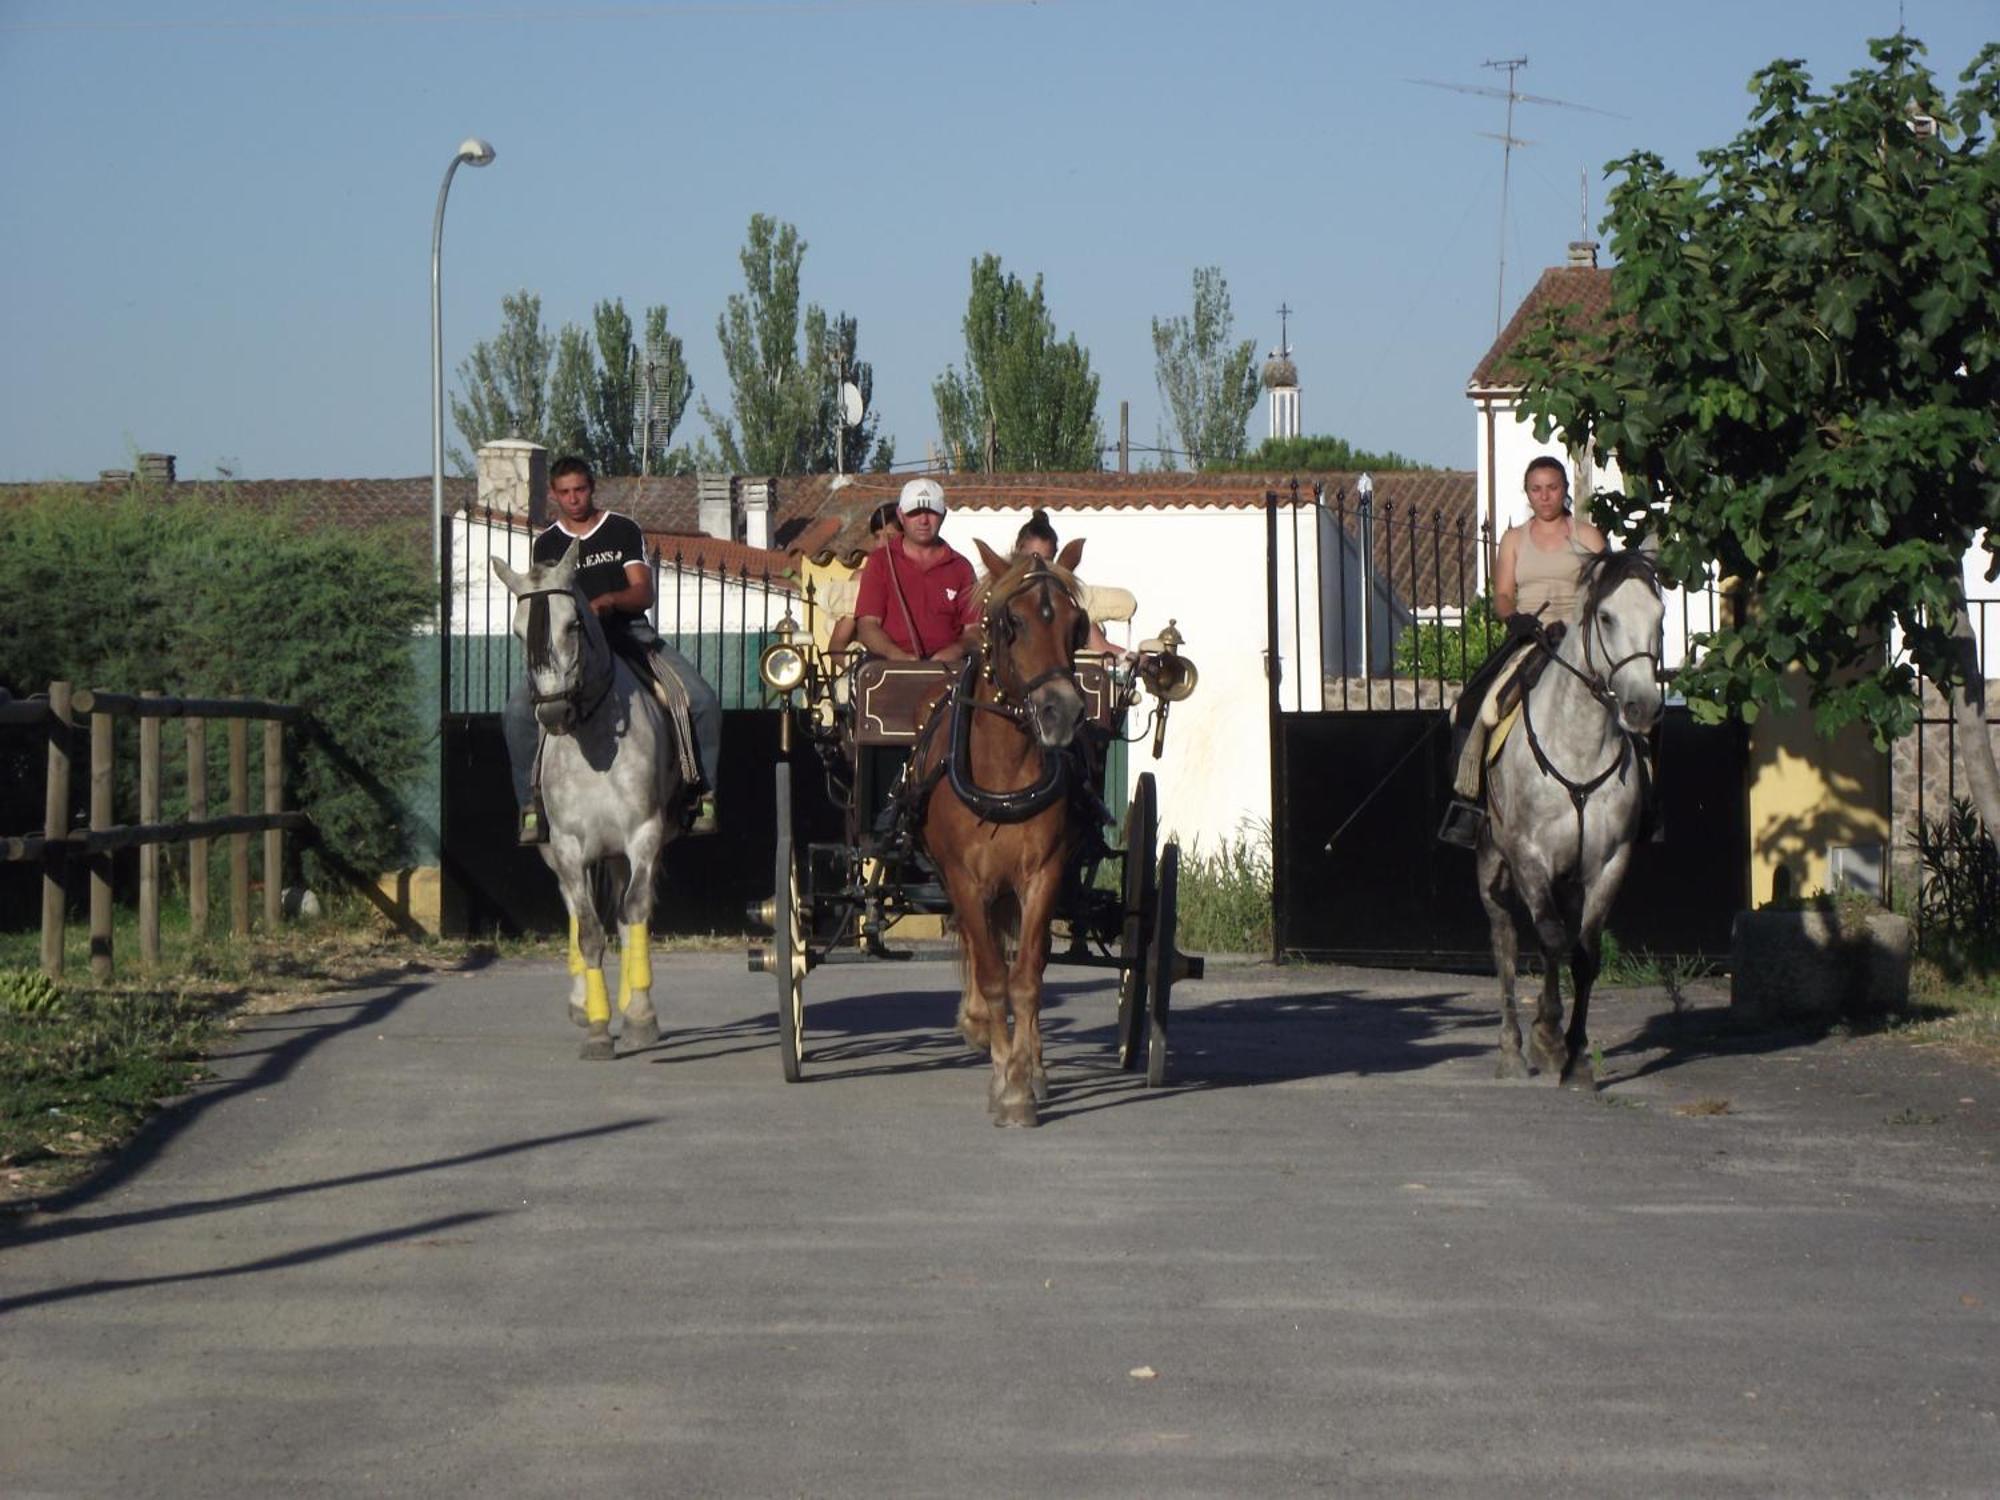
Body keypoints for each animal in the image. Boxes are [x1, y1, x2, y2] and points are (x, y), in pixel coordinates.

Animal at [492, 548, 688, 1064]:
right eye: (517, 631)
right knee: (577, 911)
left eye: (573, 624)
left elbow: (634, 913)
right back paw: (583, 1003)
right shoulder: (566, 847)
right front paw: (598, 1029)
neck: (593, 741)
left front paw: (639, 1018)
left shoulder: (643, 835)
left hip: (622, 850)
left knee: (624, 911)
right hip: (561, 853)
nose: (553, 713)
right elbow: (589, 931)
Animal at [916, 540, 1088, 1128]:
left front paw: (1021, 1078)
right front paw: (1003, 1082)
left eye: (1078, 625)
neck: (1004, 775)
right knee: (978, 945)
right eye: (1011, 623)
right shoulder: (964, 879)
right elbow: (993, 975)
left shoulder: (1043, 874)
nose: (1062, 712)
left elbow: (1027, 977)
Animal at [1480, 548, 1664, 1088]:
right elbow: (1551, 939)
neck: (1579, 744)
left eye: (1660, 616)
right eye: (1606, 617)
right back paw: (1512, 1049)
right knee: (1505, 940)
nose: (1642, 707)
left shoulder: (1608, 863)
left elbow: (1583, 954)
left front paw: (1575, 1056)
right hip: (1493, 863)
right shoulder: (1528, 856)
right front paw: (1546, 1037)